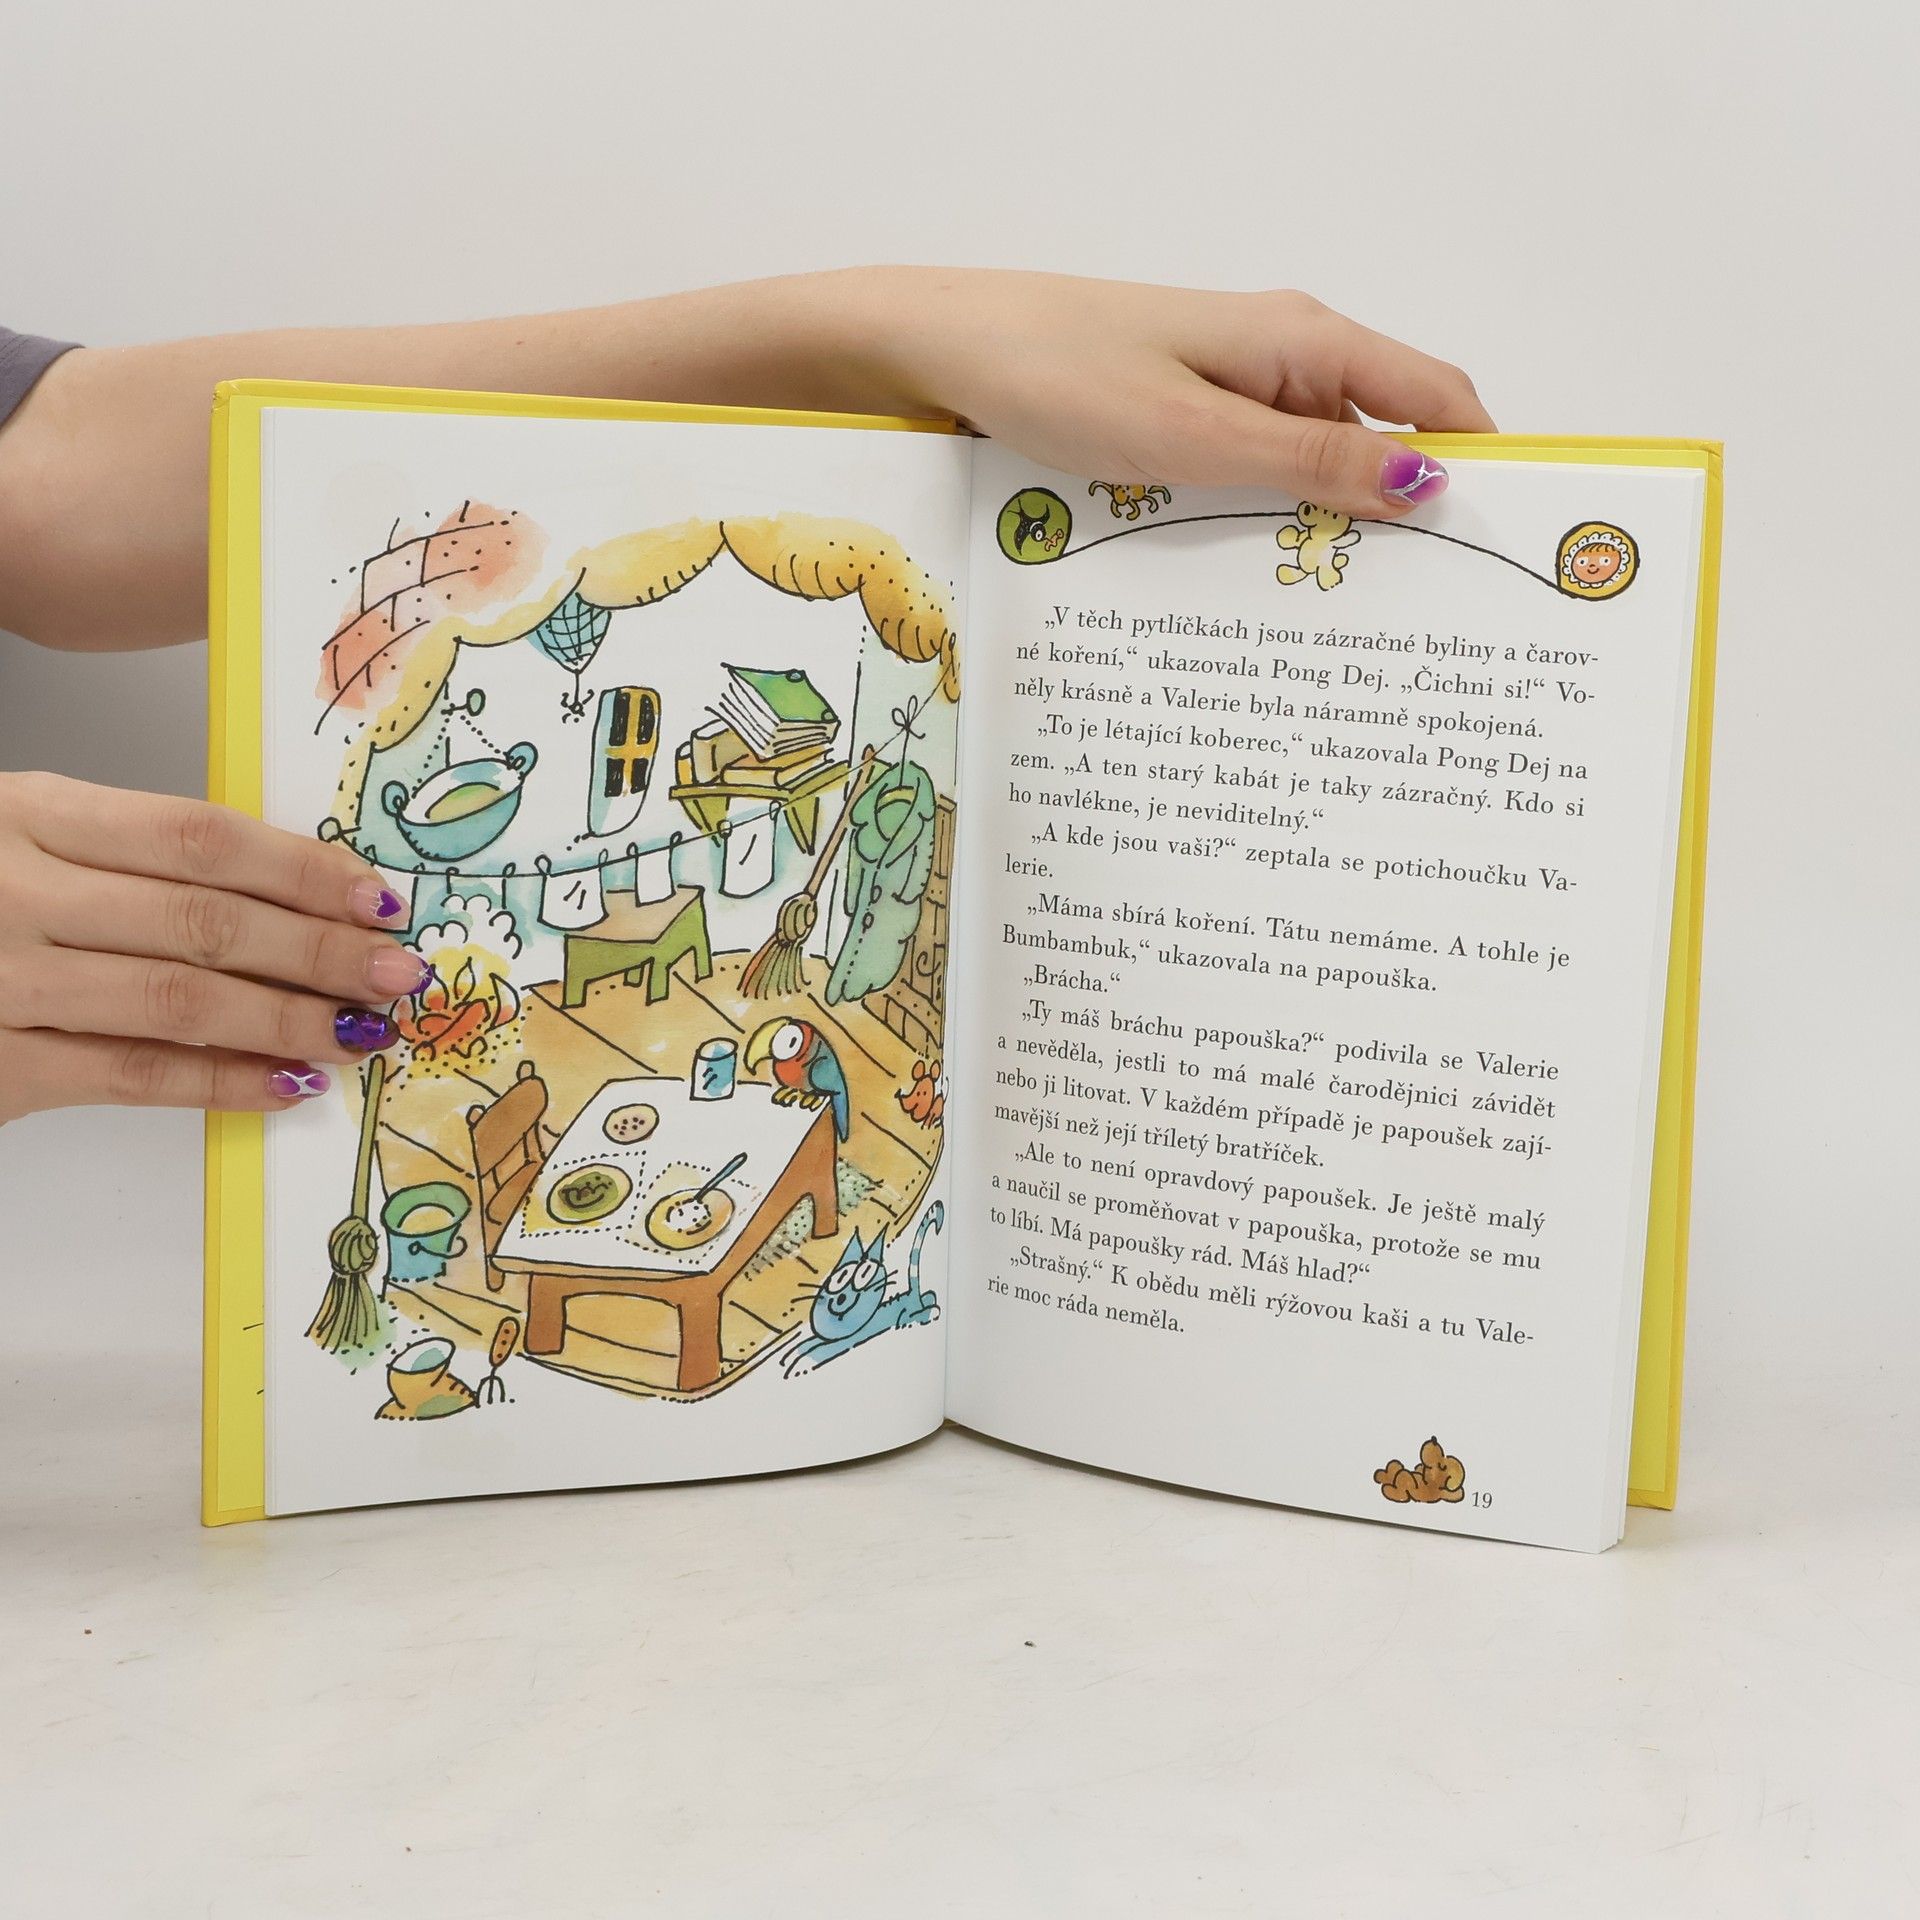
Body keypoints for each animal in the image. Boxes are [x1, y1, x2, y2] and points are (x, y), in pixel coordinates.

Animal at [779, 1202, 944, 1378]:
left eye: (864, 1274)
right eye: (841, 1277)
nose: (841, 1298)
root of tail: (913, 1297)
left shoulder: (846, 1340)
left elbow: (820, 1351)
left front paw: (800, 1364)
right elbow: (808, 1343)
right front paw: (792, 1355)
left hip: (912, 1314)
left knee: (927, 1311)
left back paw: (915, 1319)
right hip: (921, 1299)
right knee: (929, 1296)